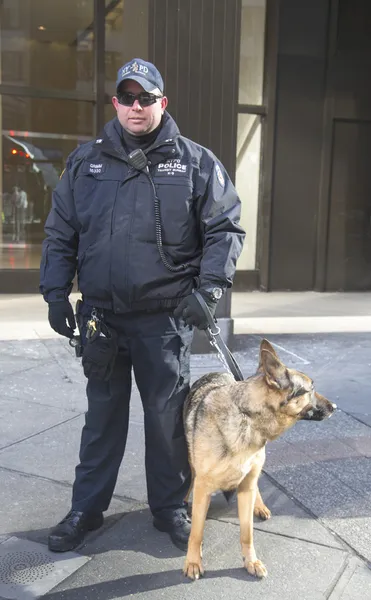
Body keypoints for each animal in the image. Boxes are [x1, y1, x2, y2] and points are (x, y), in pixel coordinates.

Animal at [183, 342, 338, 580]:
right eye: (310, 389)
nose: (335, 407)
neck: (246, 417)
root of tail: (216, 372)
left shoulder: (246, 485)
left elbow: (247, 533)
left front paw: (251, 561)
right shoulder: (202, 486)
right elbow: (196, 533)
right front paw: (192, 561)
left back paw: (260, 505)